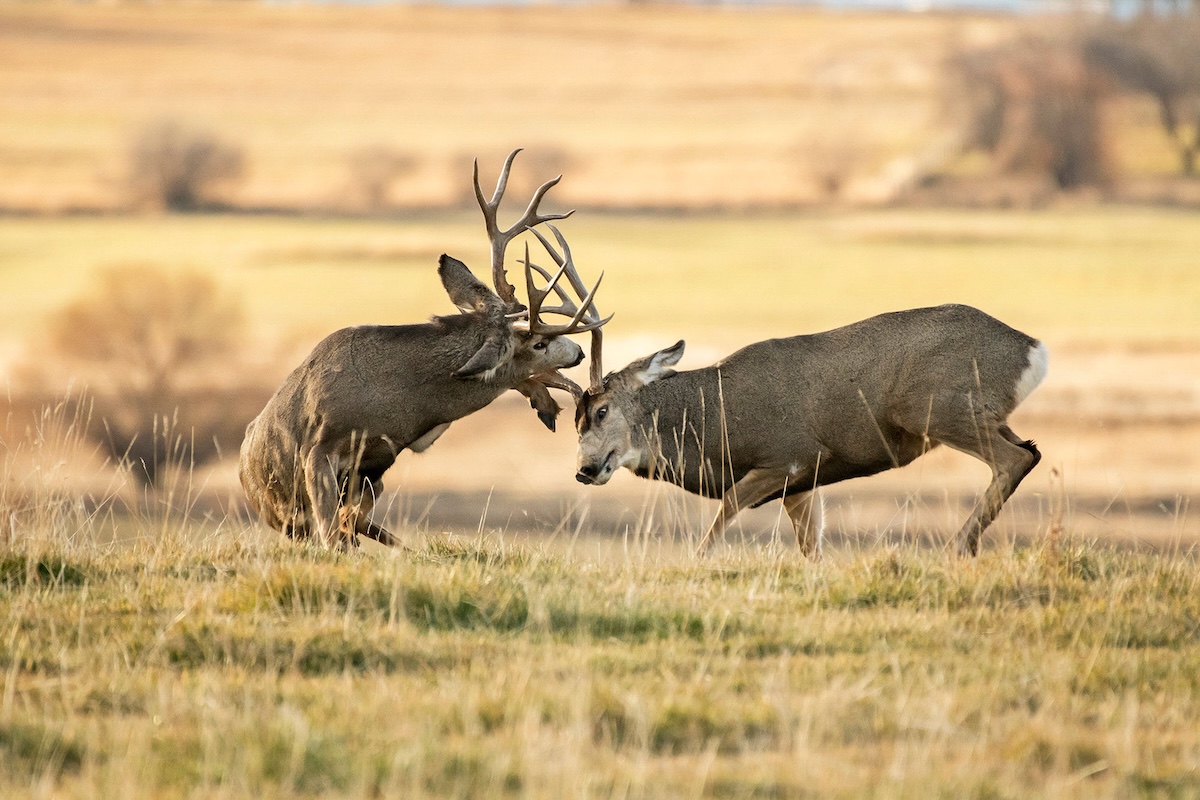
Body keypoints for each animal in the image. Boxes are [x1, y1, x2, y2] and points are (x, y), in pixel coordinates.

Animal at [239, 149, 608, 548]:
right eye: (539, 343)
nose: (579, 352)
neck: (394, 400)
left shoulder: (376, 464)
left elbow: (351, 527)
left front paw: (545, 400)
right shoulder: (318, 448)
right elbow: (330, 533)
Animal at [573, 304, 1048, 557]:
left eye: (601, 411)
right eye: (575, 421)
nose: (584, 468)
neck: (714, 420)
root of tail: (1032, 350)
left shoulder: (790, 455)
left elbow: (726, 509)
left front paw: (698, 563)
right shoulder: (802, 485)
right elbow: (810, 547)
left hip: (938, 410)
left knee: (1016, 458)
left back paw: (958, 547)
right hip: (979, 416)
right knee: (1030, 450)